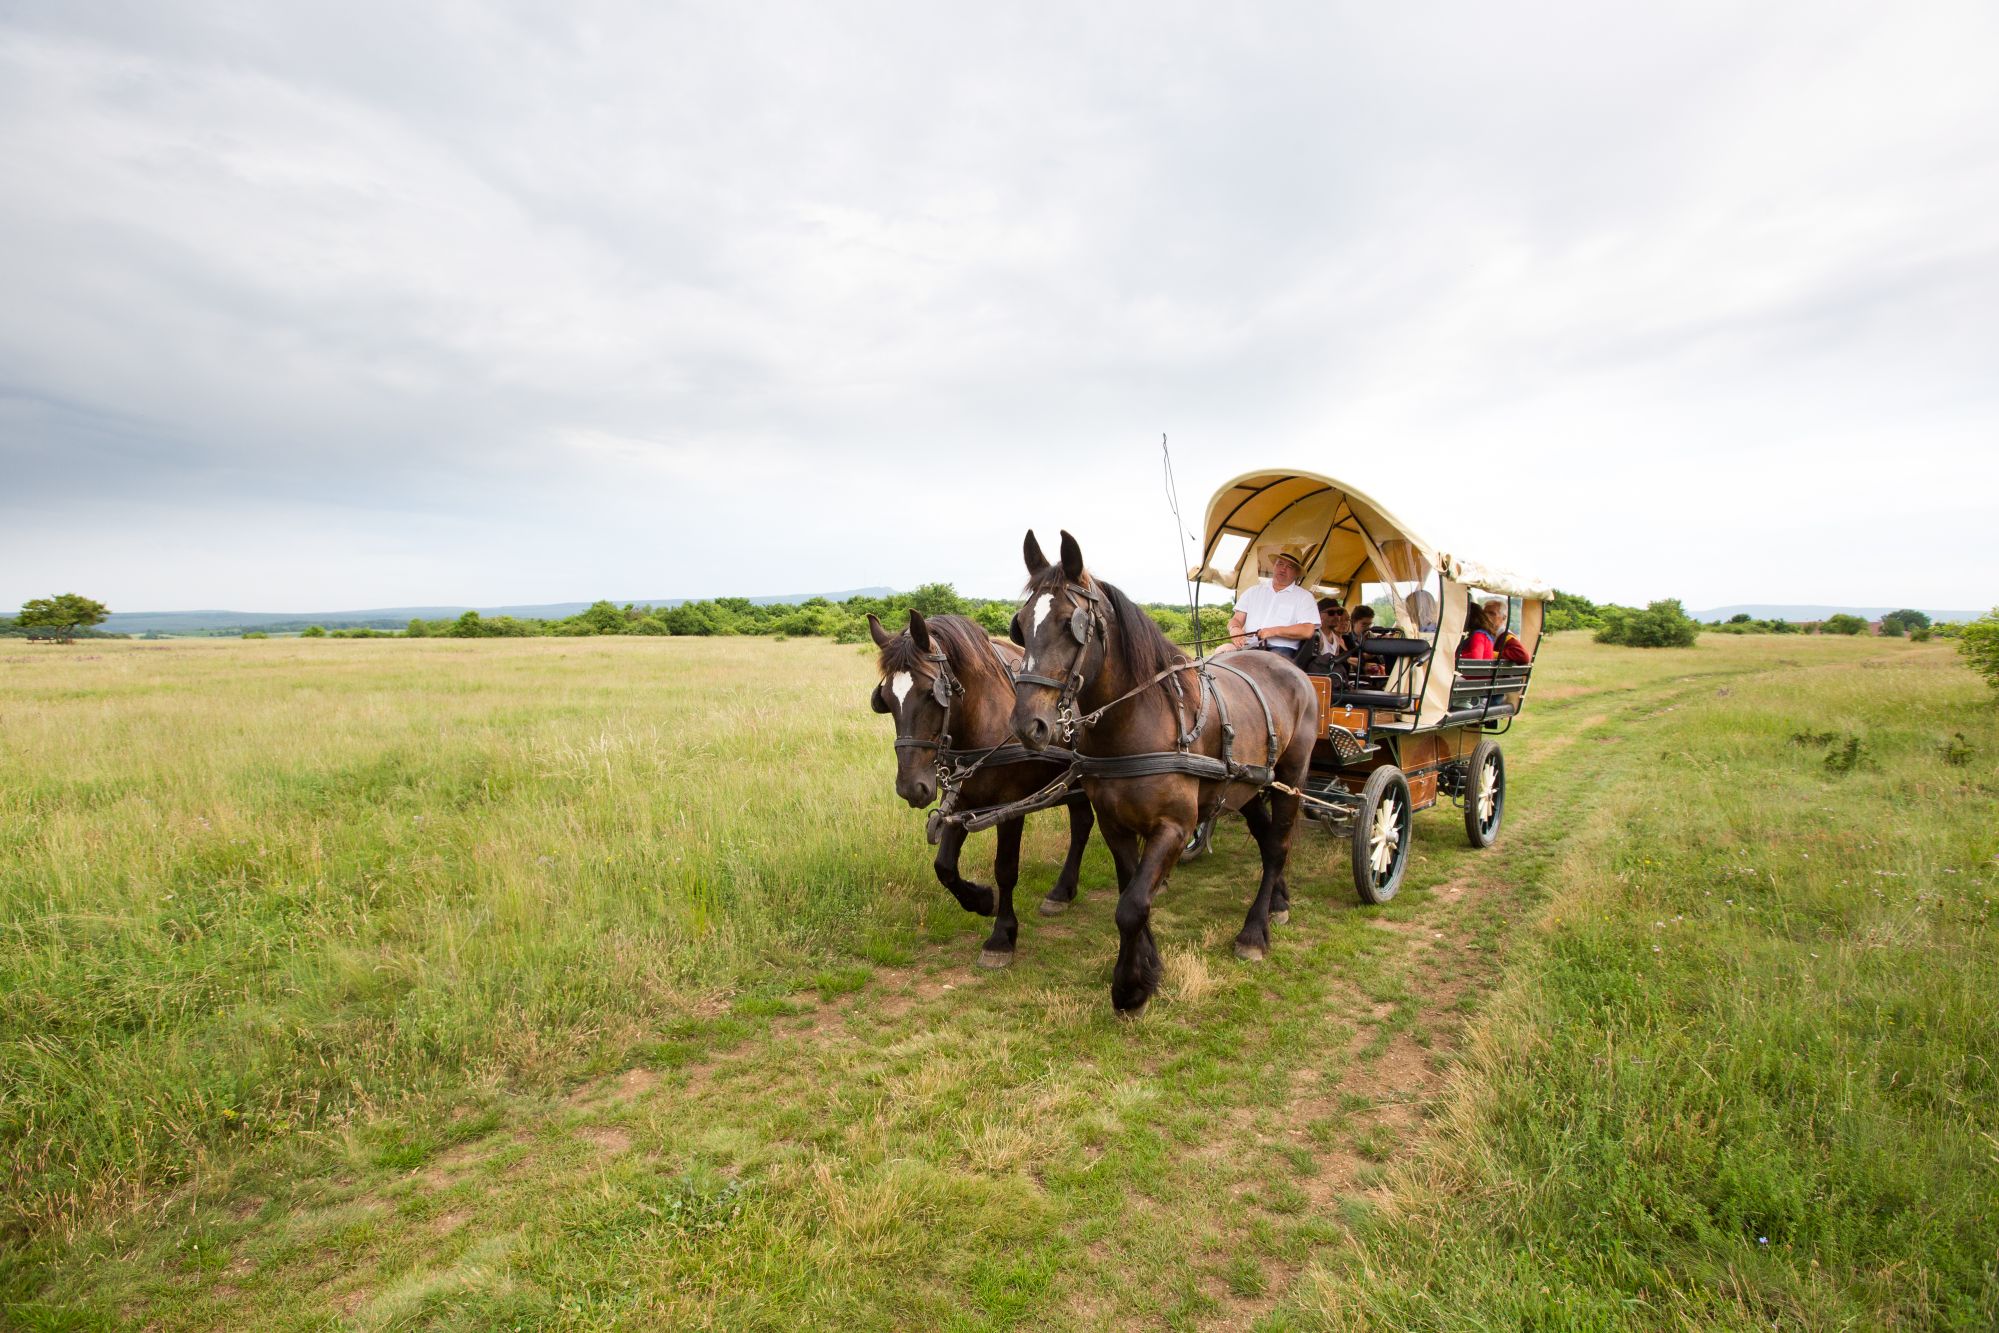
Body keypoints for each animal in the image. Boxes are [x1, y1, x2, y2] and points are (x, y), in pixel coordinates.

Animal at [871, 611, 1103, 963]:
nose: (911, 788)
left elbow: (1005, 869)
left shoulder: (1009, 806)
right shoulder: (961, 799)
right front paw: (981, 901)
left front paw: (1001, 936)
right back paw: (1062, 892)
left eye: (931, 693)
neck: (983, 719)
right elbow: (944, 867)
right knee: (1082, 823)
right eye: (885, 700)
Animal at [1007, 531, 1319, 1011]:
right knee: (1269, 843)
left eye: (1068, 623)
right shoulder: (1114, 823)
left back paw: (1254, 931)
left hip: (1291, 778)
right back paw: (1278, 903)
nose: (1029, 724)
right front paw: (1148, 966)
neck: (1136, 720)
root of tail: (1290, 668)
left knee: (1280, 845)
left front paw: (1130, 987)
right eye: (1020, 625)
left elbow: (1133, 904)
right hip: (1244, 786)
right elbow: (1130, 893)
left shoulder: (1174, 825)